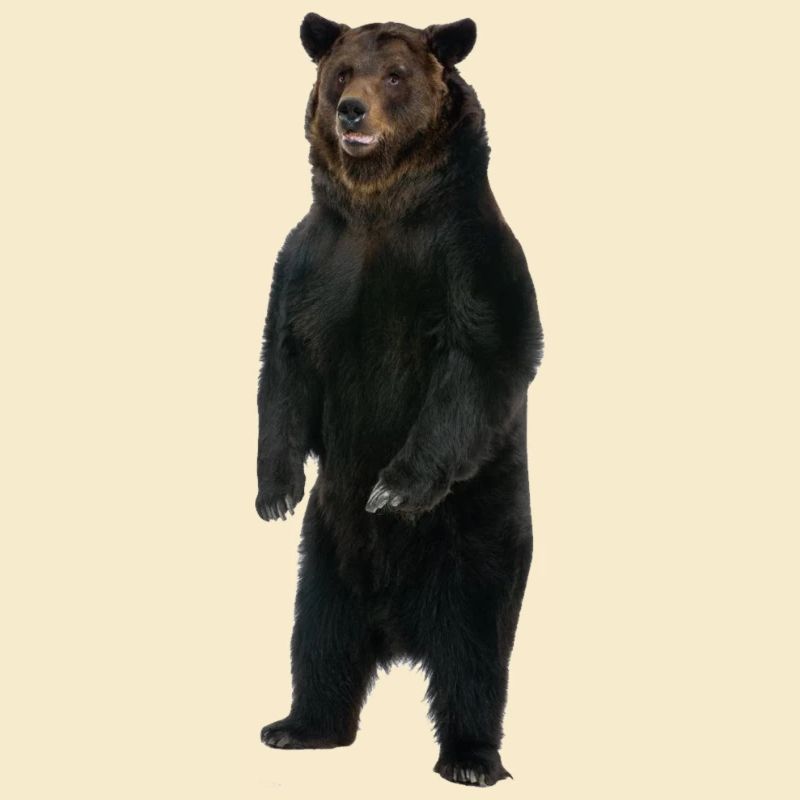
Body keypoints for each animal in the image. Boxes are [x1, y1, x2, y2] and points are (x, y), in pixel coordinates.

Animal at [255, 13, 544, 787]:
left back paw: (471, 758)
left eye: (395, 75)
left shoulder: (466, 257)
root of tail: (399, 630)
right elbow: (284, 365)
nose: (352, 111)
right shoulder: (313, 261)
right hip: (326, 556)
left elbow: (480, 359)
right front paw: (275, 491)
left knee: (475, 654)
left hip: (479, 538)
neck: (380, 205)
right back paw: (299, 726)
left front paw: (393, 488)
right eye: (341, 73)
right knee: (319, 638)